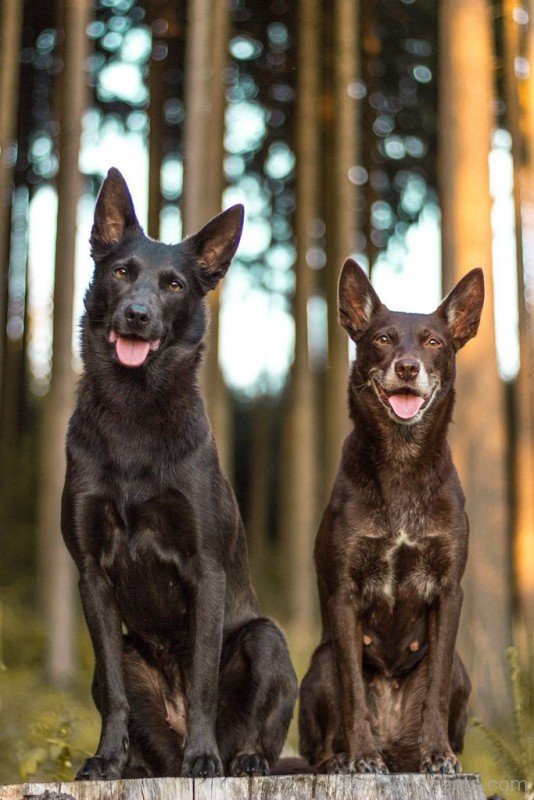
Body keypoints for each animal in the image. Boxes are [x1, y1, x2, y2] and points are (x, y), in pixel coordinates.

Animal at [61, 170, 302, 780]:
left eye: (173, 285)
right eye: (122, 272)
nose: (137, 316)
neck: (134, 411)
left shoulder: (206, 567)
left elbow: (201, 684)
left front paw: (203, 757)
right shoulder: (91, 575)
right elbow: (116, 694)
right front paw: (105, 760)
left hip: (266, 639)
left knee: (258, 732)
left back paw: (238, 759)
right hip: (127, 650)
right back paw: (139, 767)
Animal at [300, 260, 484, 772]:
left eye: (434, 342)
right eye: (382, 338)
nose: (407, 367)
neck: (403, 464)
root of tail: (394, 745)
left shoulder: (449, 592)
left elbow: (435, 691)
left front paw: (439, 755)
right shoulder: (344, 595)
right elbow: (352, 694)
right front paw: (362, 758)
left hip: (462, 668)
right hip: (317, 666)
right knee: (320, 744)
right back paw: (344, 759)